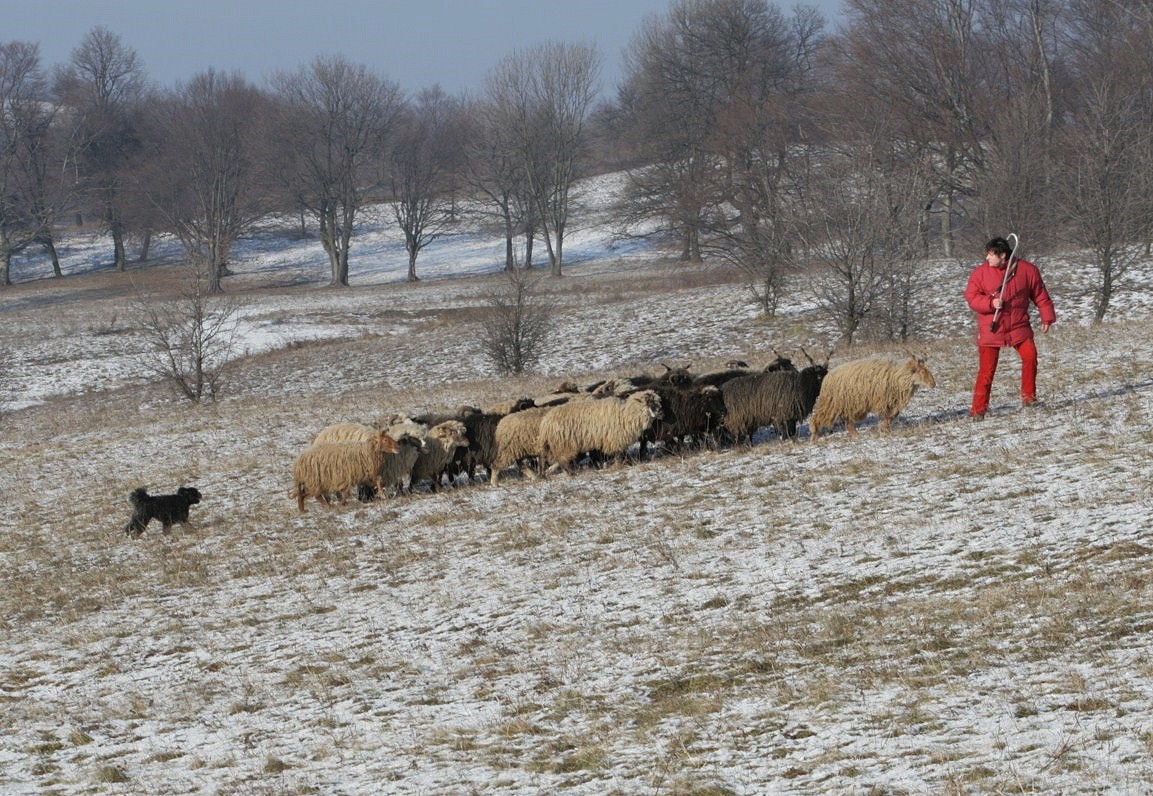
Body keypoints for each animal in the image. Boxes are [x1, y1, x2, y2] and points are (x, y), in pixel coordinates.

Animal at [534, 389, 664, 475]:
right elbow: (619, 455)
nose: (662, 412)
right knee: (562, 461)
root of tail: (545, 422)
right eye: (650, 402)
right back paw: (571, 473)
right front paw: (619, 465)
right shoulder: (615, 440)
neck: (626, 414)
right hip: (565, 444)